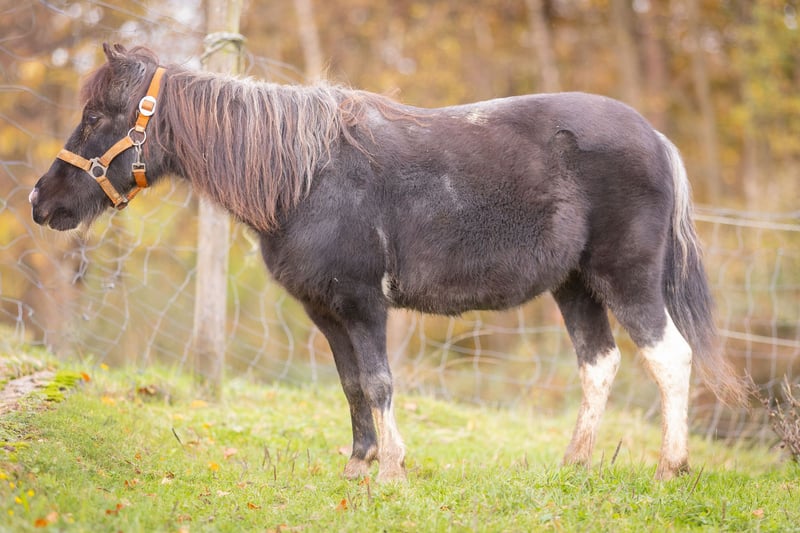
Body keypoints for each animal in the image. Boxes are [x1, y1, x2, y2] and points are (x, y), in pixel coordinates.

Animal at [31, 44, 744, 482]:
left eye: (97, 116)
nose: (41, 200)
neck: (306, 177)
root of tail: (654, 138)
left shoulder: (362, 304)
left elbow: (378, 383)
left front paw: (395, 470)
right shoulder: (326, 312)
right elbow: (351, 385)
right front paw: (358, 465)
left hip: (627, 279)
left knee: (669, 358)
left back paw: (670, 468)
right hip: (574, 287)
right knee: (599, 365)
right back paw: (574, 465)